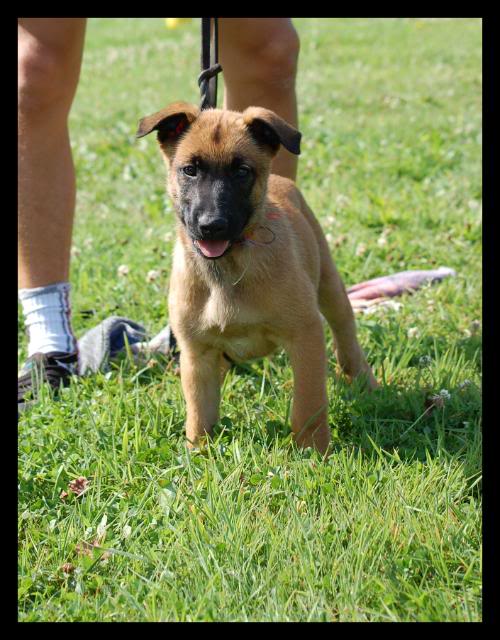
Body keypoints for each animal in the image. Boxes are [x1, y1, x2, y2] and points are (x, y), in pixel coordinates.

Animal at [137, 102, 376, 452]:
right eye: (189, 170)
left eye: (242, 171)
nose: (212, 226)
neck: (228, 270)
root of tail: (280, 179)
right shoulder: (196, 354)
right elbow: (198, 413)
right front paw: (198, 453)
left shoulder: (305, 335)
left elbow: (308, 403)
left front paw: (313, 451)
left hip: (330, 286)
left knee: (346, 337)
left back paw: (365, 382)